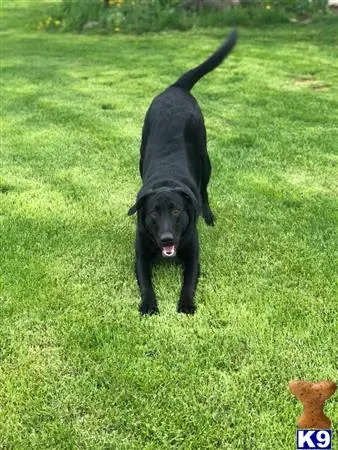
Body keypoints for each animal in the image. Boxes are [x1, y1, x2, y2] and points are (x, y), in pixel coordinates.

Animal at [128, 29, 236, 314]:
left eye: (176, 211)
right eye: (154, 213)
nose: (166, 239)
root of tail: (176, 88)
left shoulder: (193, 254)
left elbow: (188, 282)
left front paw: (186, 304)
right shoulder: (140, 255)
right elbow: (146, 283)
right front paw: (149, 305)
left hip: (206, 159)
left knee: (205, 191)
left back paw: (208, 215)